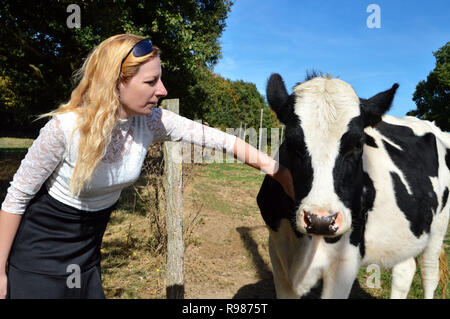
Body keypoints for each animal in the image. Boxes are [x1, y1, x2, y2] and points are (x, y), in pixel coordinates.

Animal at [258, 73, 448, 300]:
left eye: (358, 143)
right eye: (290, 141)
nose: (321, 220)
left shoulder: (345, 260)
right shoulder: (278, 251)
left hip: (439, 227)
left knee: (429, 273)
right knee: (405, 269)